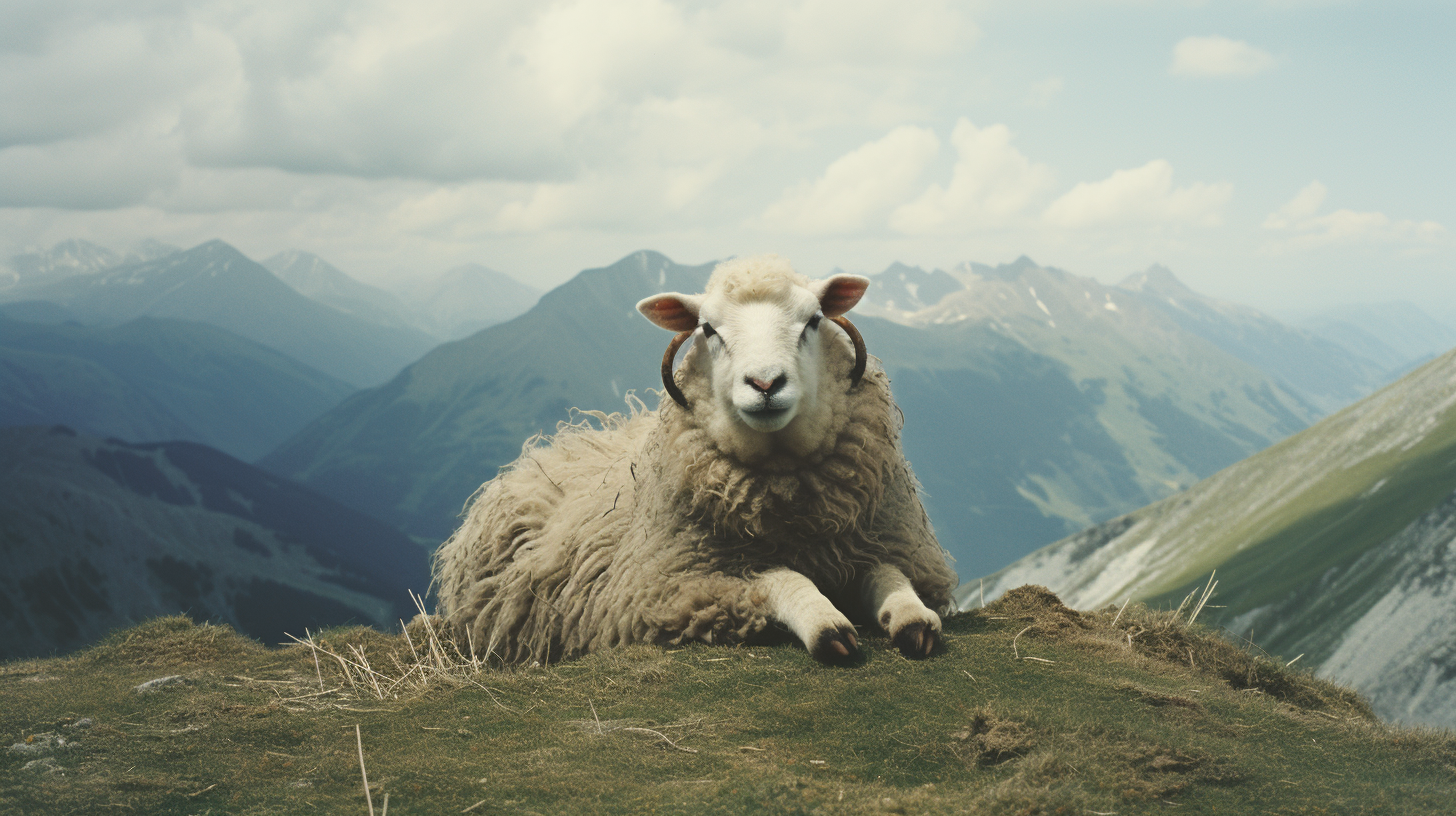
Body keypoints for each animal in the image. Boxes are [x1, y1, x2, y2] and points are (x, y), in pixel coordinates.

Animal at [430, 253, 955, 664]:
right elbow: (779, 577)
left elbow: (888, 574)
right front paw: (825, 622)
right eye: (708, 328)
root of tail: (552, 446)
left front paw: (912, 616)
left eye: (813, 320)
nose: (766, 383)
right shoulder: (682, 590)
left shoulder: (882, 548)